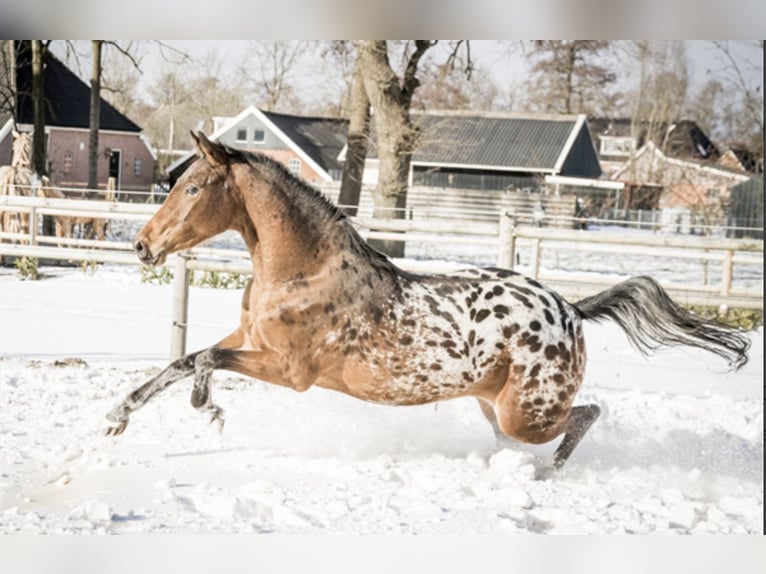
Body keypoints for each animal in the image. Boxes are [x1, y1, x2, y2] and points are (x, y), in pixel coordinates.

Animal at [105, 133, 752, 474]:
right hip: (495, 406)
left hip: (527, 412)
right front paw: (118, 416)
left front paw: (206, 407)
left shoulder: (290, 370)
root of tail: (570, 310)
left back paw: (548, 473)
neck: (301, 270)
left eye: (192, 187)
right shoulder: (251, 340)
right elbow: (183, 360)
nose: (142, 246)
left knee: (587, 415)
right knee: (543, 427)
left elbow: (202, 363)